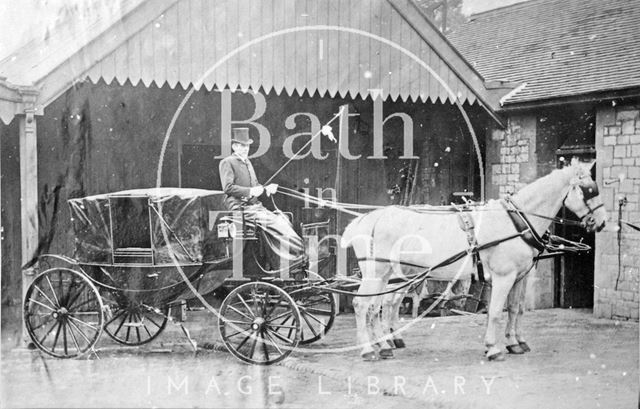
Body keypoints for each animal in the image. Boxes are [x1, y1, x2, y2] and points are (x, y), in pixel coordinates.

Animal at [340, 159, 604, 360]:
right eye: (588, 190)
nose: (601, 223)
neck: (516, 221)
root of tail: (369, 218)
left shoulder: (519, 277)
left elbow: (515, 309)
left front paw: (515, 343)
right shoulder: (504, 277)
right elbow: (496, 311)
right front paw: (494, 348)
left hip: (390, 275)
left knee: (377, 306)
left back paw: (384, 346)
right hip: (379, 272)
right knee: (363, 305)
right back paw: (368, 350)